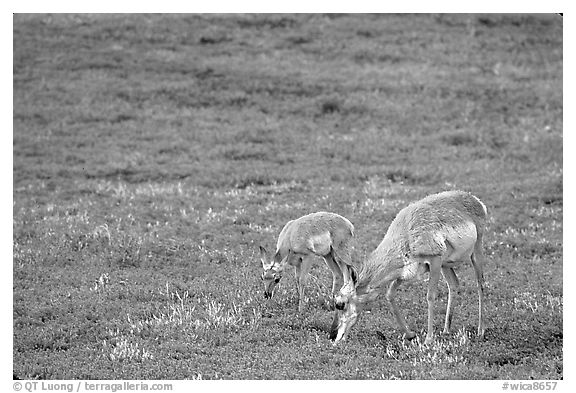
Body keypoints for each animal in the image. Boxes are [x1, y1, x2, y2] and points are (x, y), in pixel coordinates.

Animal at [332, 190, 486, 344]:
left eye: (340, 304)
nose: (333, 335)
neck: (405, 234)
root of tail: (474, 199)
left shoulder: (435, 261)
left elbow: (430, 296)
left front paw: (428, 339)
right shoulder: (405, 274)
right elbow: (389, 295)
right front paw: (409, 334)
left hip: (475, 253)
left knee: (480, 285)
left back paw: (480, 330)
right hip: (446, 265)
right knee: (454, 285)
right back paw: (446, 330)